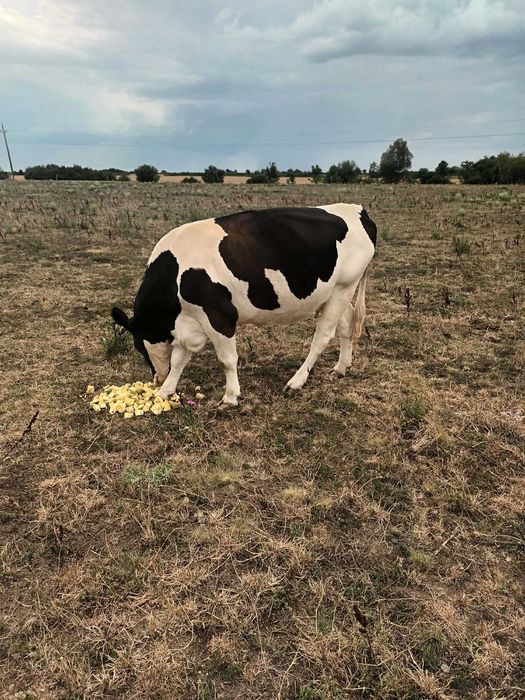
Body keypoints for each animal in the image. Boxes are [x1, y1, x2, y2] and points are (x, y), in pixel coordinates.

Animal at [111, 203, 376, 407]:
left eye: (137, 346)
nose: (155, 378)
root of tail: (357, 210)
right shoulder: (191, 320)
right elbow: (179, 360)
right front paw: (165, 391)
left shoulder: (220, 316)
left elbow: (227, 359)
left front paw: (230, 397)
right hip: (338, 292)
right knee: (346, 325)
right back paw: (341, 367)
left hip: (343, 288)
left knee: (322, 336)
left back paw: (297, 380)